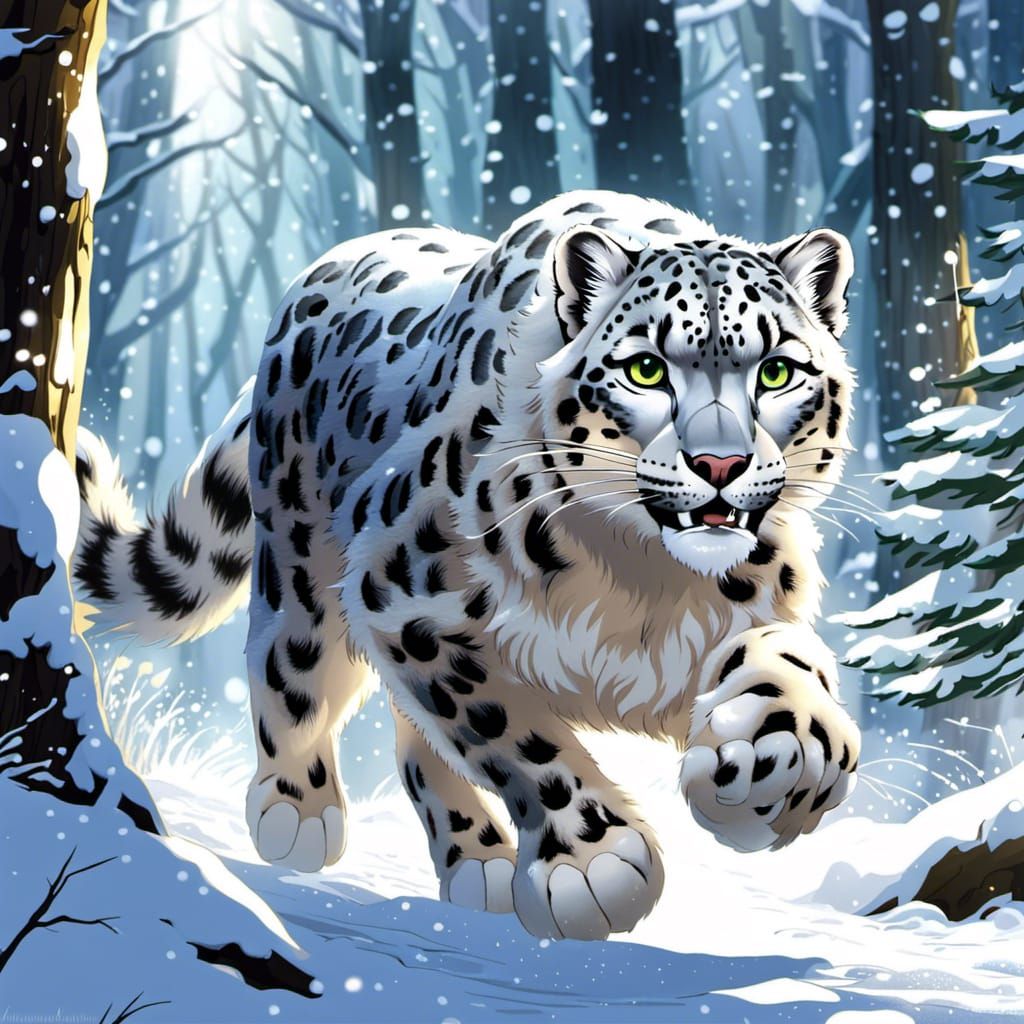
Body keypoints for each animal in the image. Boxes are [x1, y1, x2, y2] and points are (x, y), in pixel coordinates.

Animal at [74, 189, 861, 941]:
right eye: (646, 368)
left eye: (778, 371)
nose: (719, 464)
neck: (643, 581)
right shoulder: (399, 593)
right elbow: (503, 726)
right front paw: (595, 863)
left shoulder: (743, 612)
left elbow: (793, 657)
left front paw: (777, 764)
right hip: (303, 567)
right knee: (290, 669)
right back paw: (300, 813)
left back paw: (474, 859)